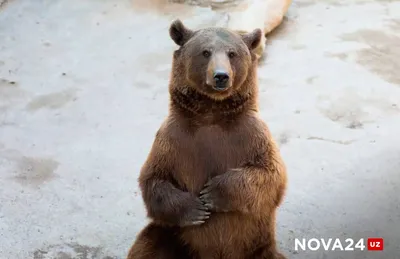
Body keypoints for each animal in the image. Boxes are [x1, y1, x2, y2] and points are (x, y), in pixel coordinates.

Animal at [126, 19, 286, 259]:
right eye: (205, 52)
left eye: (232, 53)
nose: (221, 76)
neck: (211, 114)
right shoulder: (173, 140)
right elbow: (154, 179)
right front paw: (196, 208)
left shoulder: (251, 135)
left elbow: (270, 174)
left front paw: (211, 193)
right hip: (173, 237)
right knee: (147, 244)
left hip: (259, 245)